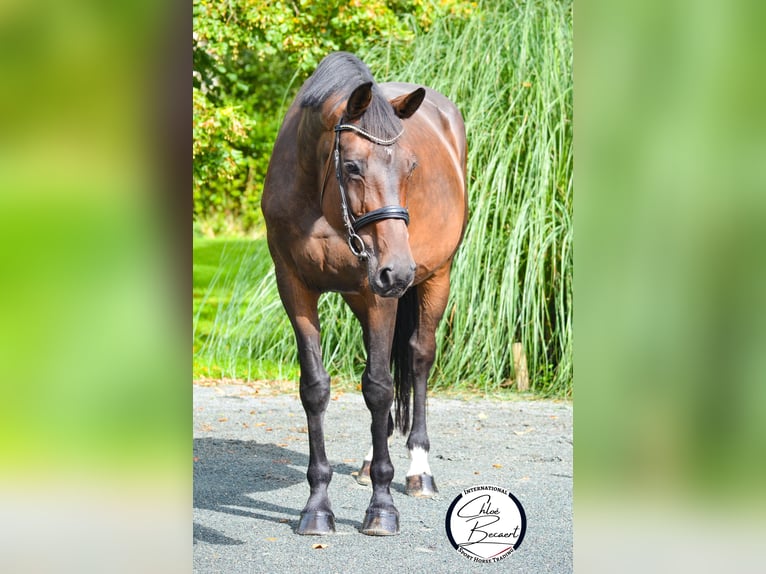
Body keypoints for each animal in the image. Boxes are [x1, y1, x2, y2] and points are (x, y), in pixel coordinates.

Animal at [262, 51, 468, 536]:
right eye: (352, 166)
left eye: (411, 167)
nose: (399, 270)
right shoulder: (295, 288)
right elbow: (316, 388)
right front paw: (317, 507)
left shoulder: (380, 296)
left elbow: (377, 387)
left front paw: (382, 507)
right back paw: (371, 461)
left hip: (435, 278)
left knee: (417, 358)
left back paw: (418, 471)